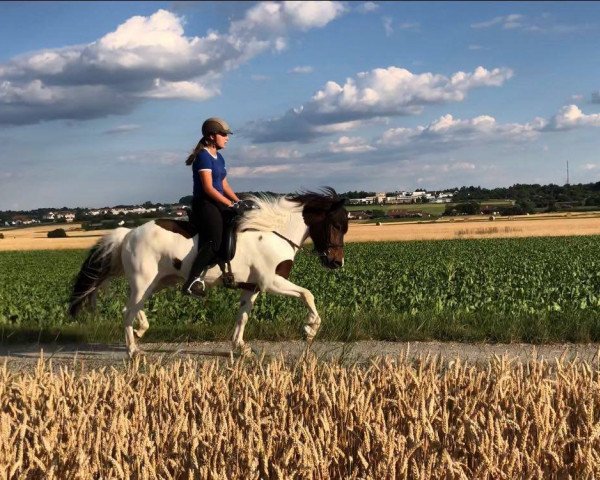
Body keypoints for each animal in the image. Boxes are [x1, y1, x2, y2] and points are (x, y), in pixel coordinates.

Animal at [68, 188, 350, 356]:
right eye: (337, 225)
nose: (337, 263)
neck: (273, 232)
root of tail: (128, 234)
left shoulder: (253, 287)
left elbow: (243, 316)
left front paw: (240, 346)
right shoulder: (272, 282)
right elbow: (308, 294)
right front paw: (310, 330)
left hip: (155, 282)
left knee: (135, 307)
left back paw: (140, 332)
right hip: (143, 280)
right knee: (128, 310)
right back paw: (133, 350)